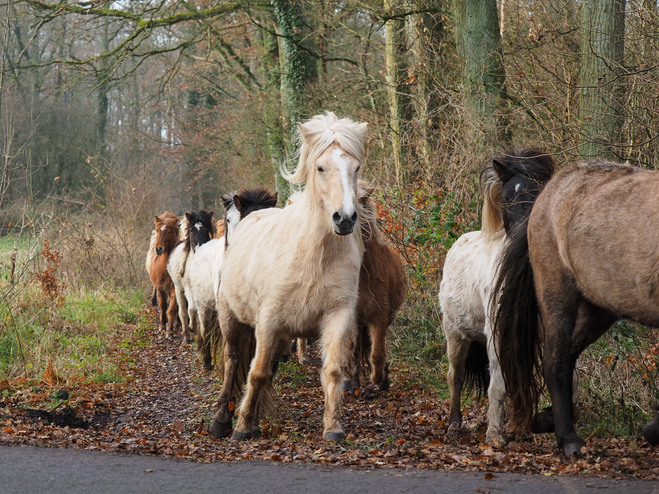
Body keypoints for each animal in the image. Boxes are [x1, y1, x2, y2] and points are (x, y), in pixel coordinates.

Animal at [168, 210, 217, 346]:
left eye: (206, 229)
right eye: (191, 229)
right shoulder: (188, 288)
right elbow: (192, 309)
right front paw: (192, 326)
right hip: (178, 289)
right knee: (183, 312)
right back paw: (186, 335)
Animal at [440, 151, 556, 448]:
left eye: (538, 192)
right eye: (507, 198)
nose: (524, 234)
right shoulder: (497, 332)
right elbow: (498, 384)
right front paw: (495, 435)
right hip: (455, 336)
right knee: (455, 376)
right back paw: (454, 424)